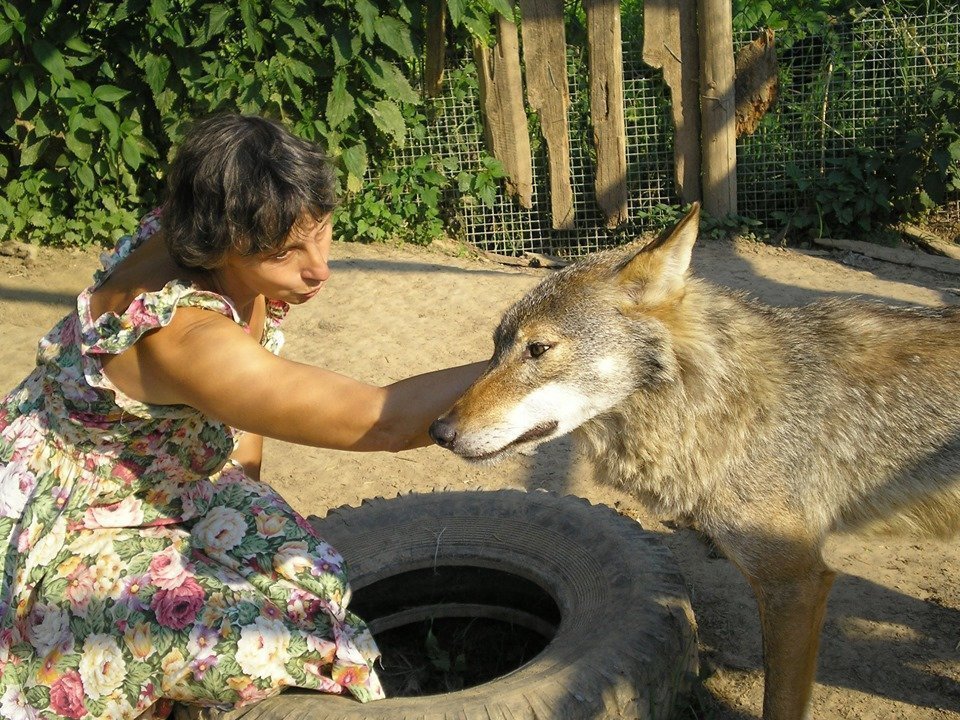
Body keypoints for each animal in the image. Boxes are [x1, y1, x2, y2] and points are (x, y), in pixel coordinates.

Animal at [432, 204, 960, 720]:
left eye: (538, 349)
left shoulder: (796, 582)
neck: (720, 400)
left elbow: (780, 701)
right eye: (495, 350)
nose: (439, 432)